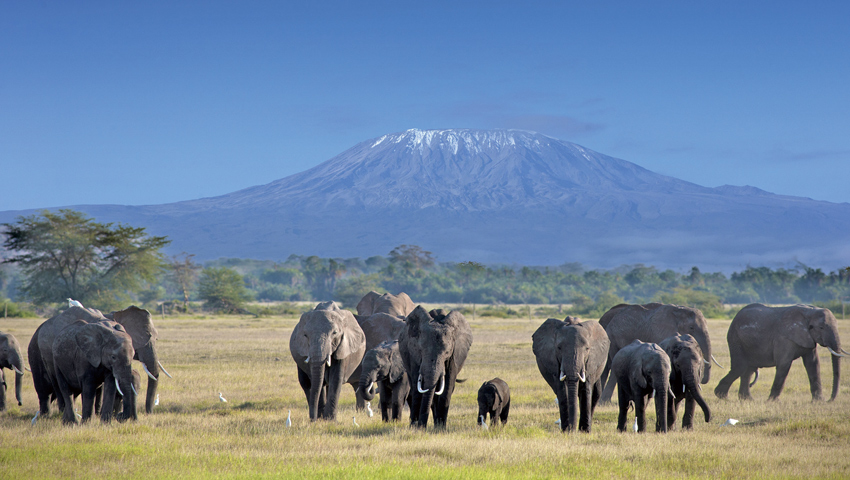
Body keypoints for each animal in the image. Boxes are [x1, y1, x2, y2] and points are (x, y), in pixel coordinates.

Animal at [28, 308, 171, 416]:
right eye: (147, 339)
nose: (149, 413)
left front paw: (102, 414)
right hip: (37, 352)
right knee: (47, 388)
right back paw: (51, 415)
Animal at [712, 304, 844, 402]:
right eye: (821, 328)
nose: (829, 400)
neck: (810, 311)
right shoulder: (784, 338)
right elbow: (784, 364)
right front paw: (772, 402)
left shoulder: (808, 338)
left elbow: (813, 364)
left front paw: (818, 402)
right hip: (735, 339)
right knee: (740, 367)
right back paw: (722, 396)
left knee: (748, 370)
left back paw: (747, 400)